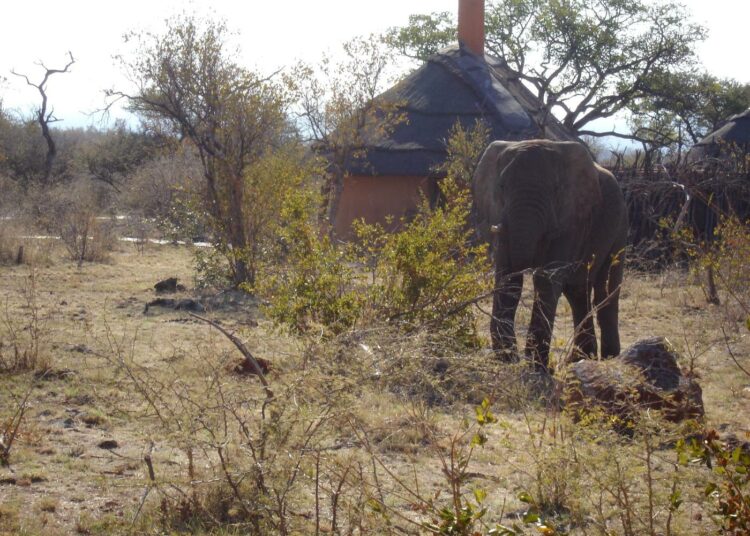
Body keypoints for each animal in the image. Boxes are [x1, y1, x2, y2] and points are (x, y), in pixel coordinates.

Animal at [476, 139, 628, 372]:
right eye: (501, 187)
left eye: (556, 189)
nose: (514, 358)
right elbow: (508, 279)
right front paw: (507, 360)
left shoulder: (572, 218)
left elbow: (546, 280)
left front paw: (535, 366)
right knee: (577, 291)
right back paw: (579, 359)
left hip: (619, 225)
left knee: (605, 288)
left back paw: (610, 357)